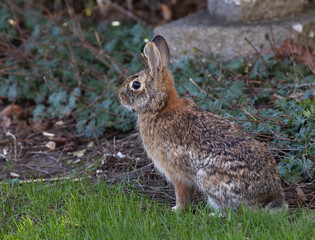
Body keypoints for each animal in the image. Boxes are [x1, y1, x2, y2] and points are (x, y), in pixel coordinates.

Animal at [119, 35, 288, 212]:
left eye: (136, 84)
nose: (120, 97)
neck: (161, 107)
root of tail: (269, 196)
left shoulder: (177, 173)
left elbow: (182, 194)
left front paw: (176, 210)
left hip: (207, 178)